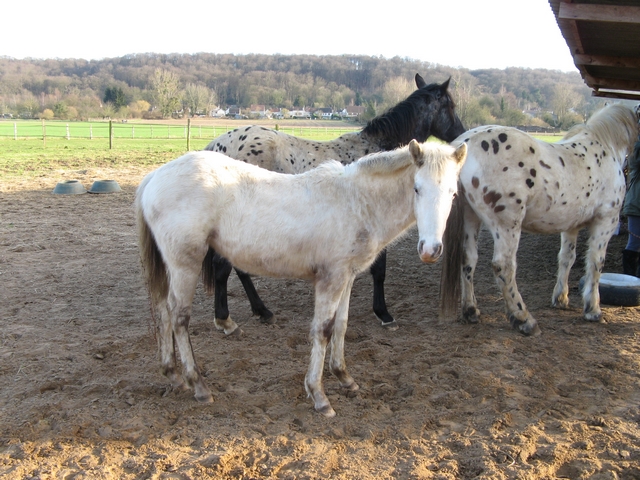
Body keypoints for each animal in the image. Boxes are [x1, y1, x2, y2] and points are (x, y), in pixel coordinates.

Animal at [136, 140, 467, 417]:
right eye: (417, 188)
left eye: (453, 193)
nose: (431, 250)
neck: (355, 201)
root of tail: (154, 177)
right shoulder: (330, 279)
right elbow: (322, 330)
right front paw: (319, 396)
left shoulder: (347, 277)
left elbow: (341, 325)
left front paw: (345, 377)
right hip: (185, 263)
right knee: (179, 318)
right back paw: (198, 385)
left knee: (163, 311)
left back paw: (173, 375)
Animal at [204, 74, 465, 330]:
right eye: (450, 105)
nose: (461, 134)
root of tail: (217, 145)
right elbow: (379, 271)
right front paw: (383, 313)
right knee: (223, 267)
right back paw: (228, 318)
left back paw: (260, 311)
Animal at [440, 103, 638, 336]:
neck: (605, 147)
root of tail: (465, 144)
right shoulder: (606, 220)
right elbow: (596, 262)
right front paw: (593, 309)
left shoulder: (571, 226)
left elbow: (567, 258)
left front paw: (561, 298)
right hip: (507, 224)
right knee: (503, 266)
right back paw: (524, 319)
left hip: (470, 218)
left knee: (468, 259)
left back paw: (471, 311)